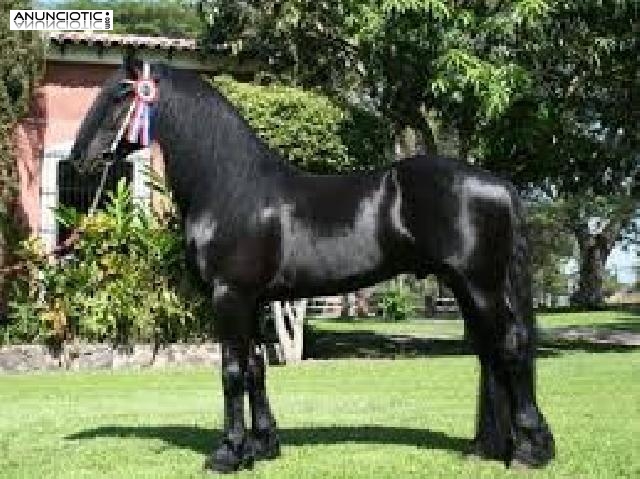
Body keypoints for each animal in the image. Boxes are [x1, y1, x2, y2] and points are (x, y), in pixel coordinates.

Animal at [69, 56, 555, 473]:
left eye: (120, 95)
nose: (78, 160)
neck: (232, 187)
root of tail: (498, 184)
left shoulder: (229, 296)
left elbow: (231, 371)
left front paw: (227, 453)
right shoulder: (255, 301)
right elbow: (256, 368)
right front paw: (263, 447)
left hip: (480, 284)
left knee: (510, 347)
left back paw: (530, 451)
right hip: (466, 286)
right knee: (489, 353)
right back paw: (488, 448)